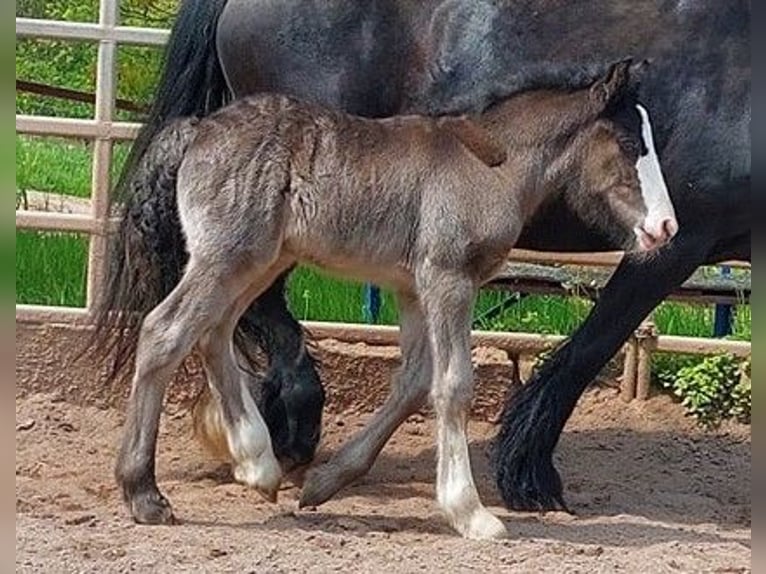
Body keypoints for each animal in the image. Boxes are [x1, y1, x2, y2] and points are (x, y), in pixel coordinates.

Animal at [94, 0, 752, 512]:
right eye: (629, 142)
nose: (664, 223)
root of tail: (201, 130)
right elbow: (567, 356)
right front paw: (522, 484)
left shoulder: (421, 282)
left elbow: (418, 380)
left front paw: (338, 481)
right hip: (249, 249)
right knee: (182, 326)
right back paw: (205, 468)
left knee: (218, 325)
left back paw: (258, 452)